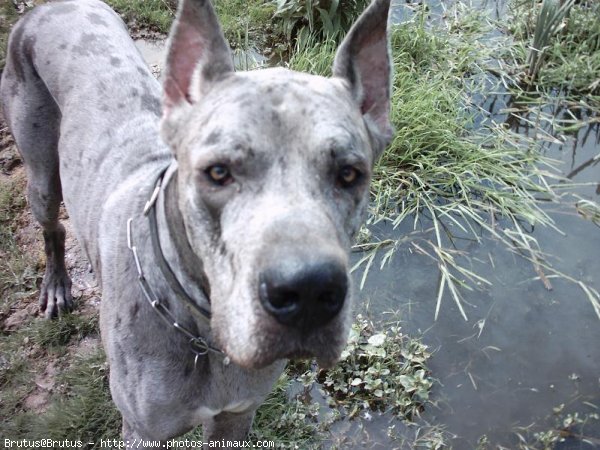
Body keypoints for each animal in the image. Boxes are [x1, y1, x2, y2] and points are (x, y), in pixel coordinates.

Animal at [1, 0, 394, 444]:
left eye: (349, 174)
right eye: (218, 172)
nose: (309, 292)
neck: (205, 333)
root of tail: (52, 7)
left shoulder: (236, 417)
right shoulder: (141, 432)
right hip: (41, 174)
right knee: (53, 227)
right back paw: (55, 286)